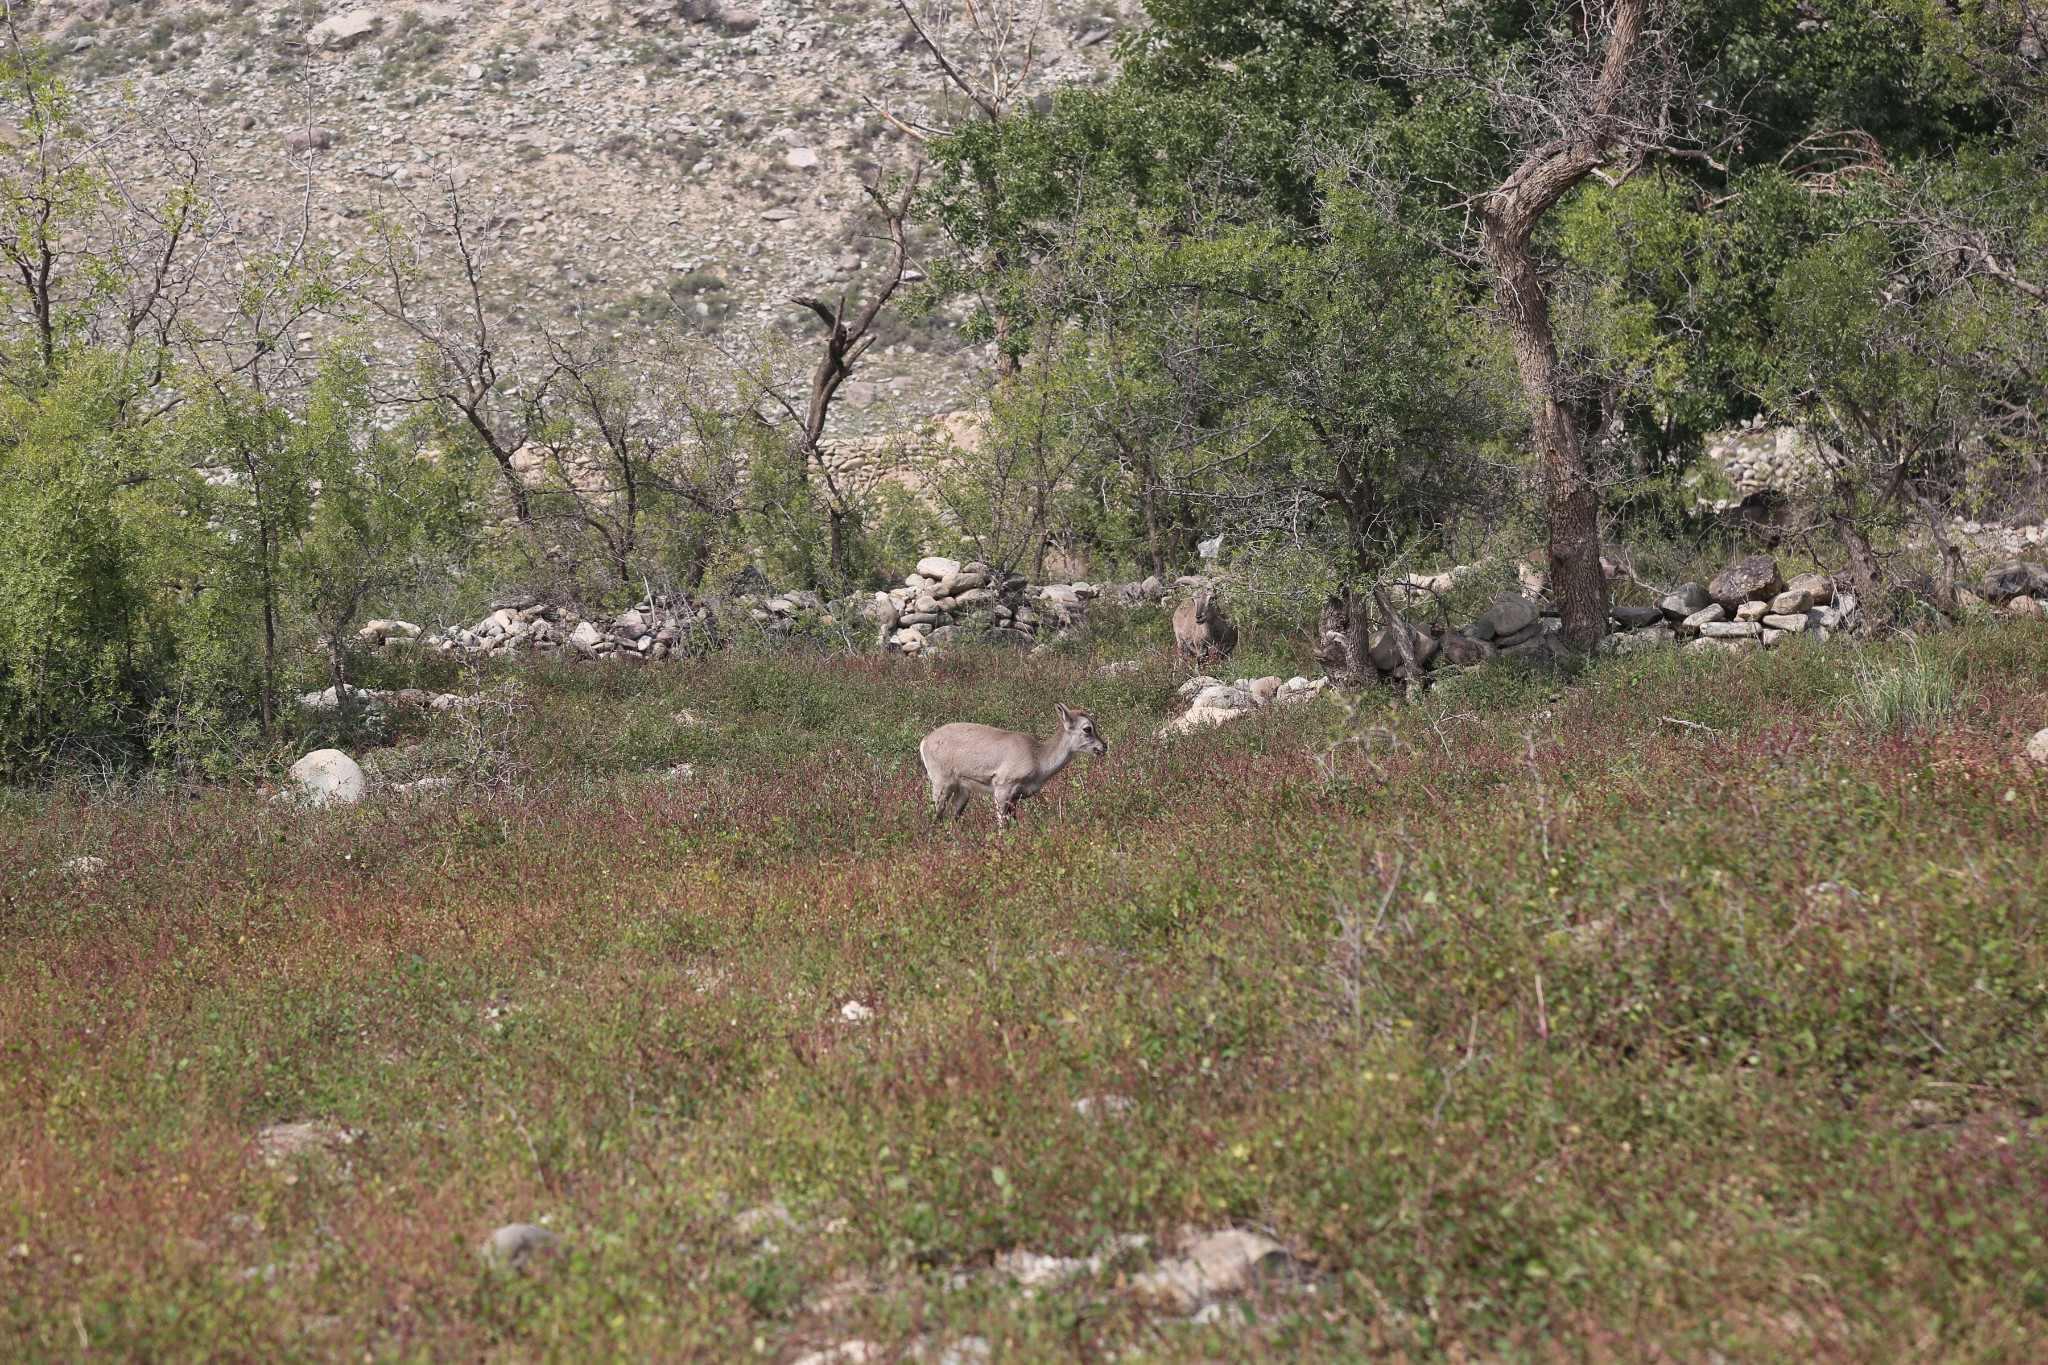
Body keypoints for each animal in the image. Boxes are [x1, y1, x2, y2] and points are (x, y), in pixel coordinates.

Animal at [921, 712, 1105, 826]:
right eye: (1087, 728)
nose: (1103, 747)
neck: (1038, 758)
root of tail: (925, 741)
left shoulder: (1016, 797)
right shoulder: (1003, 787)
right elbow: (1002, 823)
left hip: (962, 789)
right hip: (941, 782)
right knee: (936, 813)